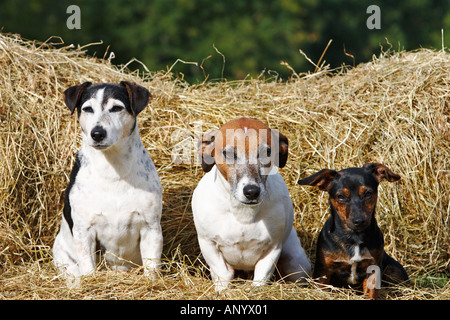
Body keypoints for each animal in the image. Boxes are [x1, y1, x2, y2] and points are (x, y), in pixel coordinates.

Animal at [52, 82, 163, 278]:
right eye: (87, 109)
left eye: (117, 108)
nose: (97, 133)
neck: (112, 169)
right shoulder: (84, 232)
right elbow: (88, 268)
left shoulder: (151, 229)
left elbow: (151, 268)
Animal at [192, 118, 312, 292]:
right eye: (229, 153)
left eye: (266, 152)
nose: (251, 191)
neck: (242, 213)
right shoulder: (208, 244)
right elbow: (222, 273)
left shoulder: (273, 248)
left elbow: (261, 276)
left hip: (296, 263)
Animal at [298, 164, 408, 298]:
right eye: (340, 196)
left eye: (368, 193)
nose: (359, 221)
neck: (353, 237)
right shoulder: (323, 271)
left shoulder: (373, 268)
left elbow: (371, 293)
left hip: (395, 270)